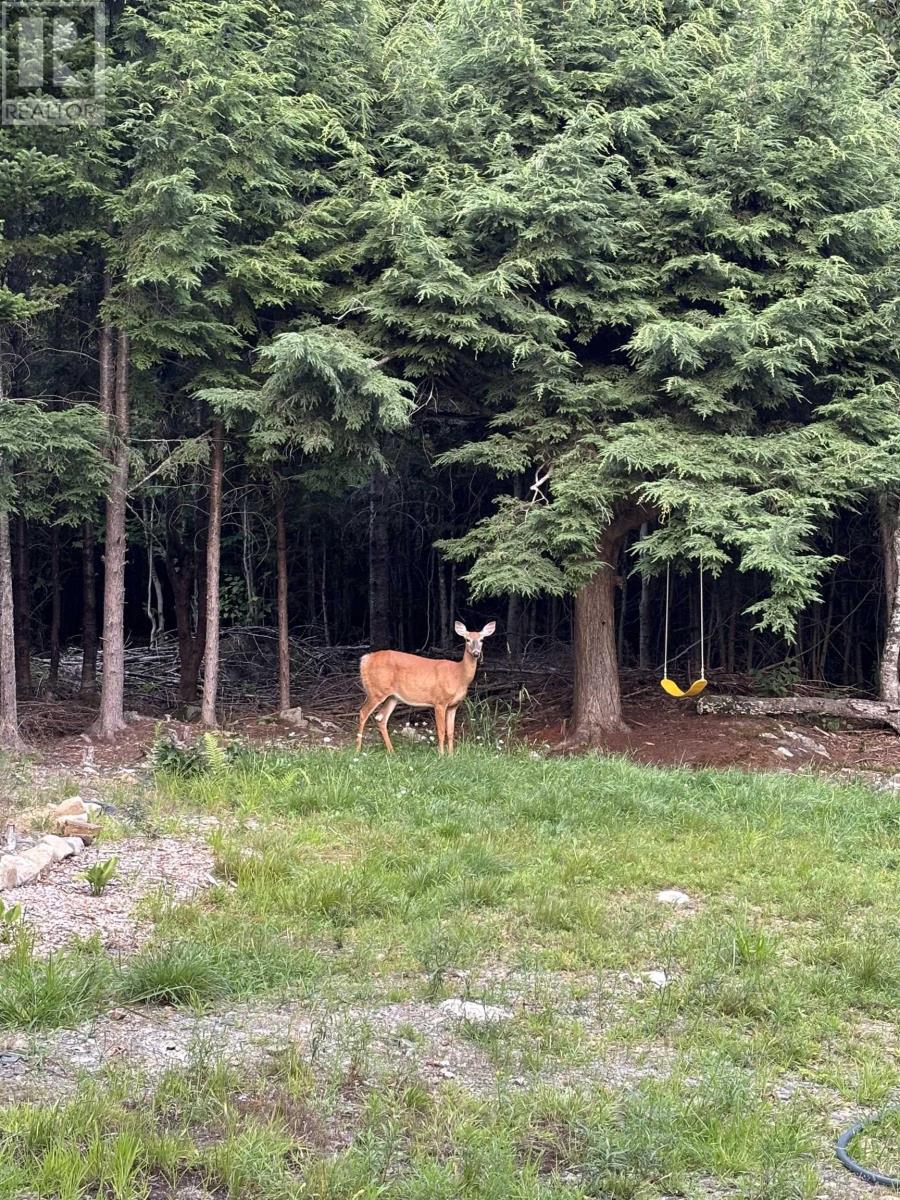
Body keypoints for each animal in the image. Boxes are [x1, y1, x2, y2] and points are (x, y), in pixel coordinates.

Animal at [357, 624, 496, 753]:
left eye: (482, 639)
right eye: (467, 639)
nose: (476, 653)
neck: (458, 675)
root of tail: (365, 659)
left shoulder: (453, 705)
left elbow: (451, 731)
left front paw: (451, 755)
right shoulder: (439, 701)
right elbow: (441, 730)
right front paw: (441, 755)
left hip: (392, 697)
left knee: (381, 718)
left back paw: (392, 752)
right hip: (376, 690)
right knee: (363, 712)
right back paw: (358, 750)